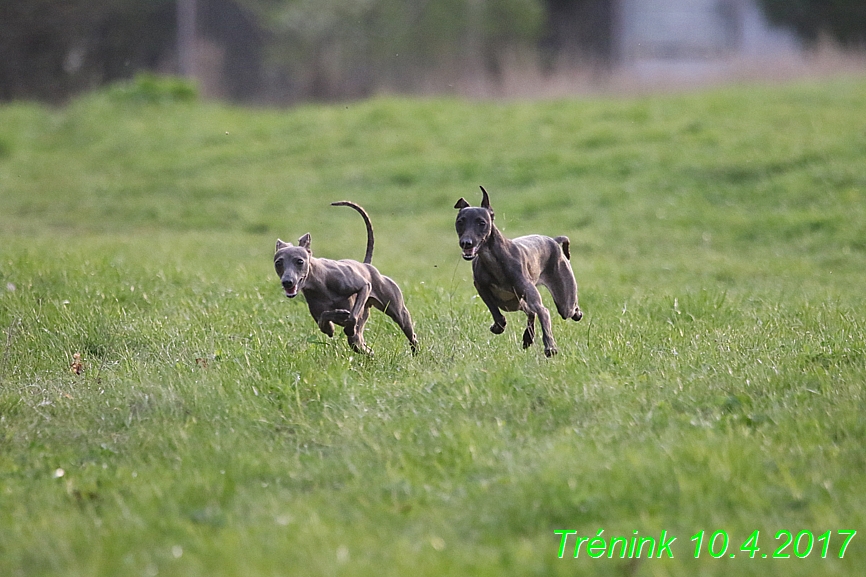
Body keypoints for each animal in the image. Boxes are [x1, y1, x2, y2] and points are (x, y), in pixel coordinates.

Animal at [274, 202, 416, 356]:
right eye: (278, 263)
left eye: (300, 261)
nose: (287, 282)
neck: (320, 282)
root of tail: (366, 265)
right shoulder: (319, 313)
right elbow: (325, 321)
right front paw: (335, 319)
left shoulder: (362, 286)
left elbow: (352, 316)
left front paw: (345, 320)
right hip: (360, 332)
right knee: (363, 347)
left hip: (398, 311)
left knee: (410, 333)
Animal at [452, 186, 580, 356]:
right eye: (460, 222)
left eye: (482, 222)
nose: (466, 243)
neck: (494, 259)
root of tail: (553, 240)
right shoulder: (481, 287)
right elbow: (496, 312)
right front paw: (498, 326)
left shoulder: (530, 294)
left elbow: (543, 312)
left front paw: (550, 346)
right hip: (515, 302)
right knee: (530, 312)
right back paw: (527, 337)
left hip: (563, 300)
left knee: (566, 310)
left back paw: (575, 314)